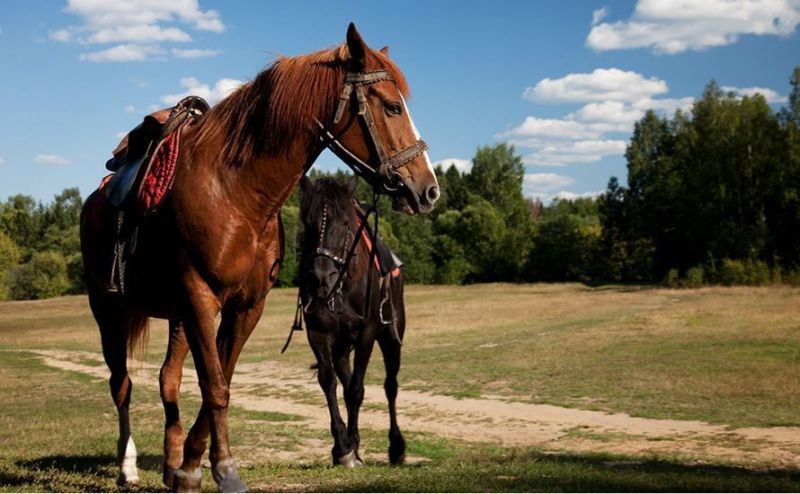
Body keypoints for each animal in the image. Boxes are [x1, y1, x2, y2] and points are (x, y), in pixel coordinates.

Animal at [296, 177, 406, 466]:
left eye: (345, 223)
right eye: (307, 222)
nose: (321, 277)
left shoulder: (367, 334)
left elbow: (356, 389)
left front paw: (352, 445)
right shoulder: (318, 333)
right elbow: (329, 381)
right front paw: (343, 446)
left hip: (391, 338)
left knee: (391, 385)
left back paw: (397, 447)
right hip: (342, 347)